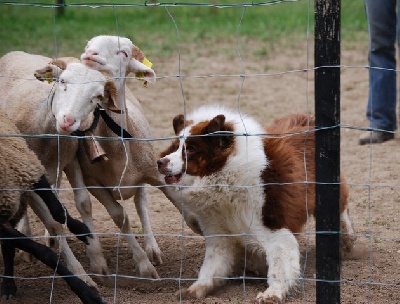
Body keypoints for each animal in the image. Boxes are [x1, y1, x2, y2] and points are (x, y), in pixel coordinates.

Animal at [0, 108, 105, 302]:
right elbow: (43, 252)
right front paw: (86, 293)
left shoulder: (30, 168)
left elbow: (58, 211)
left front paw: (81, 230)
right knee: (9, 247)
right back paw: (9, 286)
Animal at [157, 105, 356, 304]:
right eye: (175, 147)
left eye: (190, 149)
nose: (160, 162)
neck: (225, 176)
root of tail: (308, 119)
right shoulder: (219, 232)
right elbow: (212, 264)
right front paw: (197, 288)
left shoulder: (275, 229)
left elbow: (279, 265)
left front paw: (273, 293)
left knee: (341, 209)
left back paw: (347, 240)